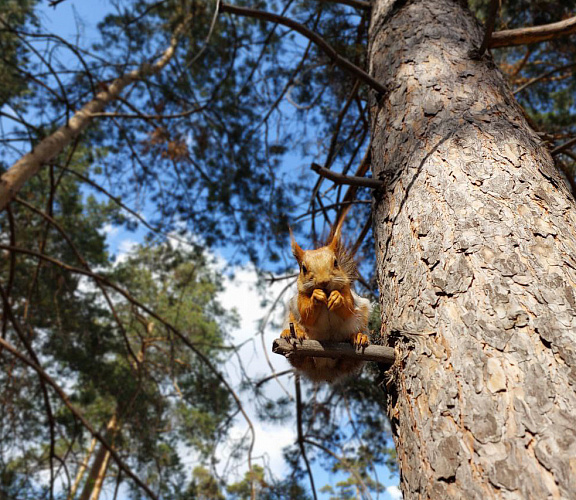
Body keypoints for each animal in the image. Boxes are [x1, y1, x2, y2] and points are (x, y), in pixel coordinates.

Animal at [280, 214, 372, 382]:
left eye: (335, 263)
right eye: (303, 269)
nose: (323, 282)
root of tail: (324, 371)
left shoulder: (348, 292)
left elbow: (348, 308)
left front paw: (337, 298)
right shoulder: (300, 299)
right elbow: (306, 314)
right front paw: (316, 296)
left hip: (361, 318)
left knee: (349, 361)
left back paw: (359, 337)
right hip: (291, 319)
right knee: (299, 358)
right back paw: (292, 334)